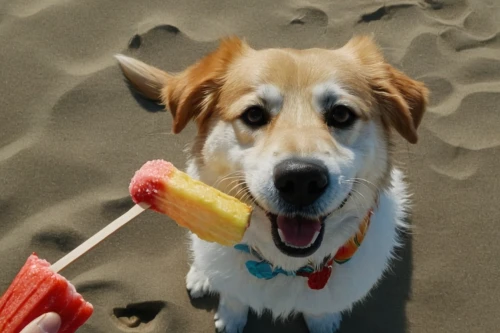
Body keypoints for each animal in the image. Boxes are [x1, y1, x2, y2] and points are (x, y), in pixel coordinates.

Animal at [115, 36, 428, 332]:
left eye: (341, 114)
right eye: (254, 114)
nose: (301, 179)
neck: (284, 265)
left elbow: (319, 309)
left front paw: (322, 322)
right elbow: (234, 297)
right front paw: (230, 318)